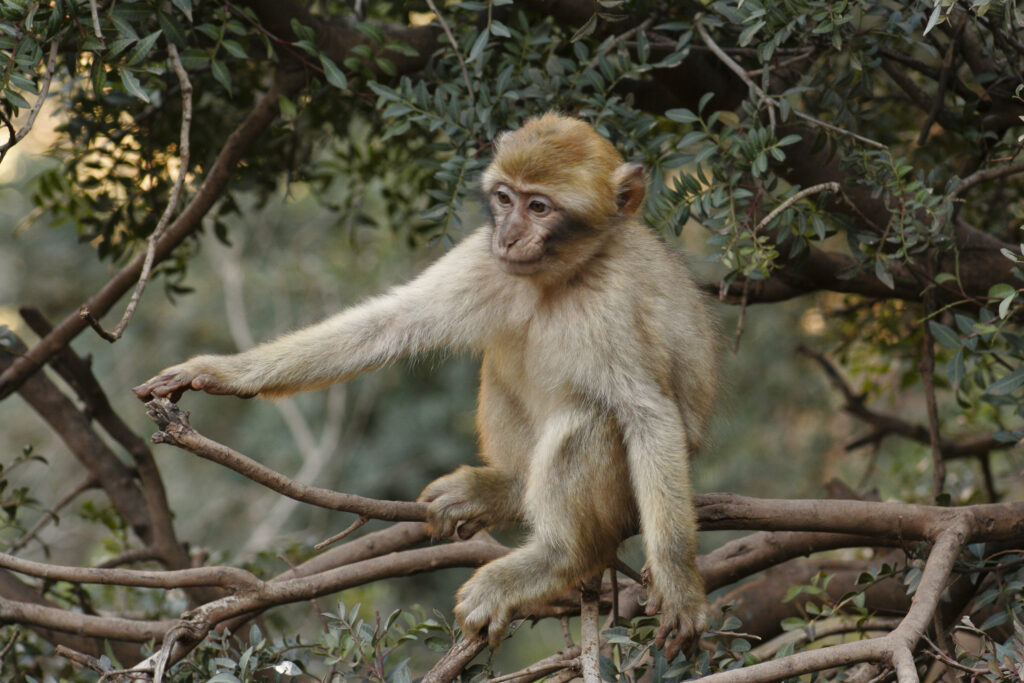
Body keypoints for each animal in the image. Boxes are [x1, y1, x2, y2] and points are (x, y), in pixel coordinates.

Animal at [134, 112, 719, 660]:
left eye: (539, 207)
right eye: (504, 198)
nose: (507, 235)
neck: (558, 279)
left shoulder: (612, 301)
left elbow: (648, 415)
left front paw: (679, 585)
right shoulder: (482, 258)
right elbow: (390, 324)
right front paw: (226, 371)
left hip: (622, 500)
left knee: (590, 417)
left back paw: (559, 557)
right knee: (503, 364)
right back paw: (509, 488)